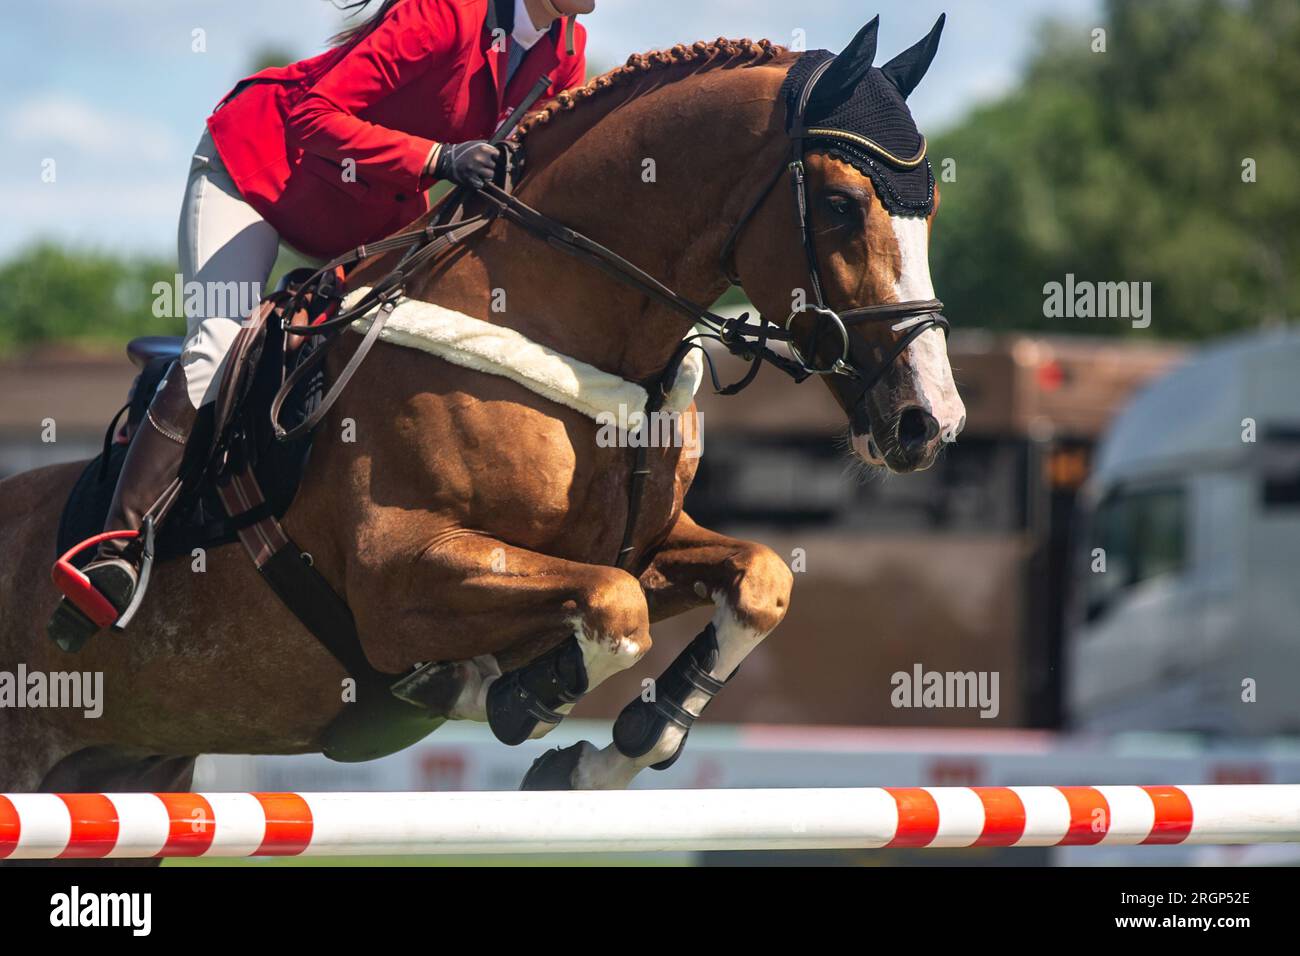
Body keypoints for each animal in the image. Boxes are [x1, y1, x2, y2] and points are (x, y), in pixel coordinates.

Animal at [0, 18, 964, 810]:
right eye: (840, 204)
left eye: (934, 208)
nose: (929, 422)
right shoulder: (398, 576)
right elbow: (612, 609)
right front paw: (507, 693)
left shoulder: (646, 546)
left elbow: (759, 580)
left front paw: (609, 752)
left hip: (133, 768)